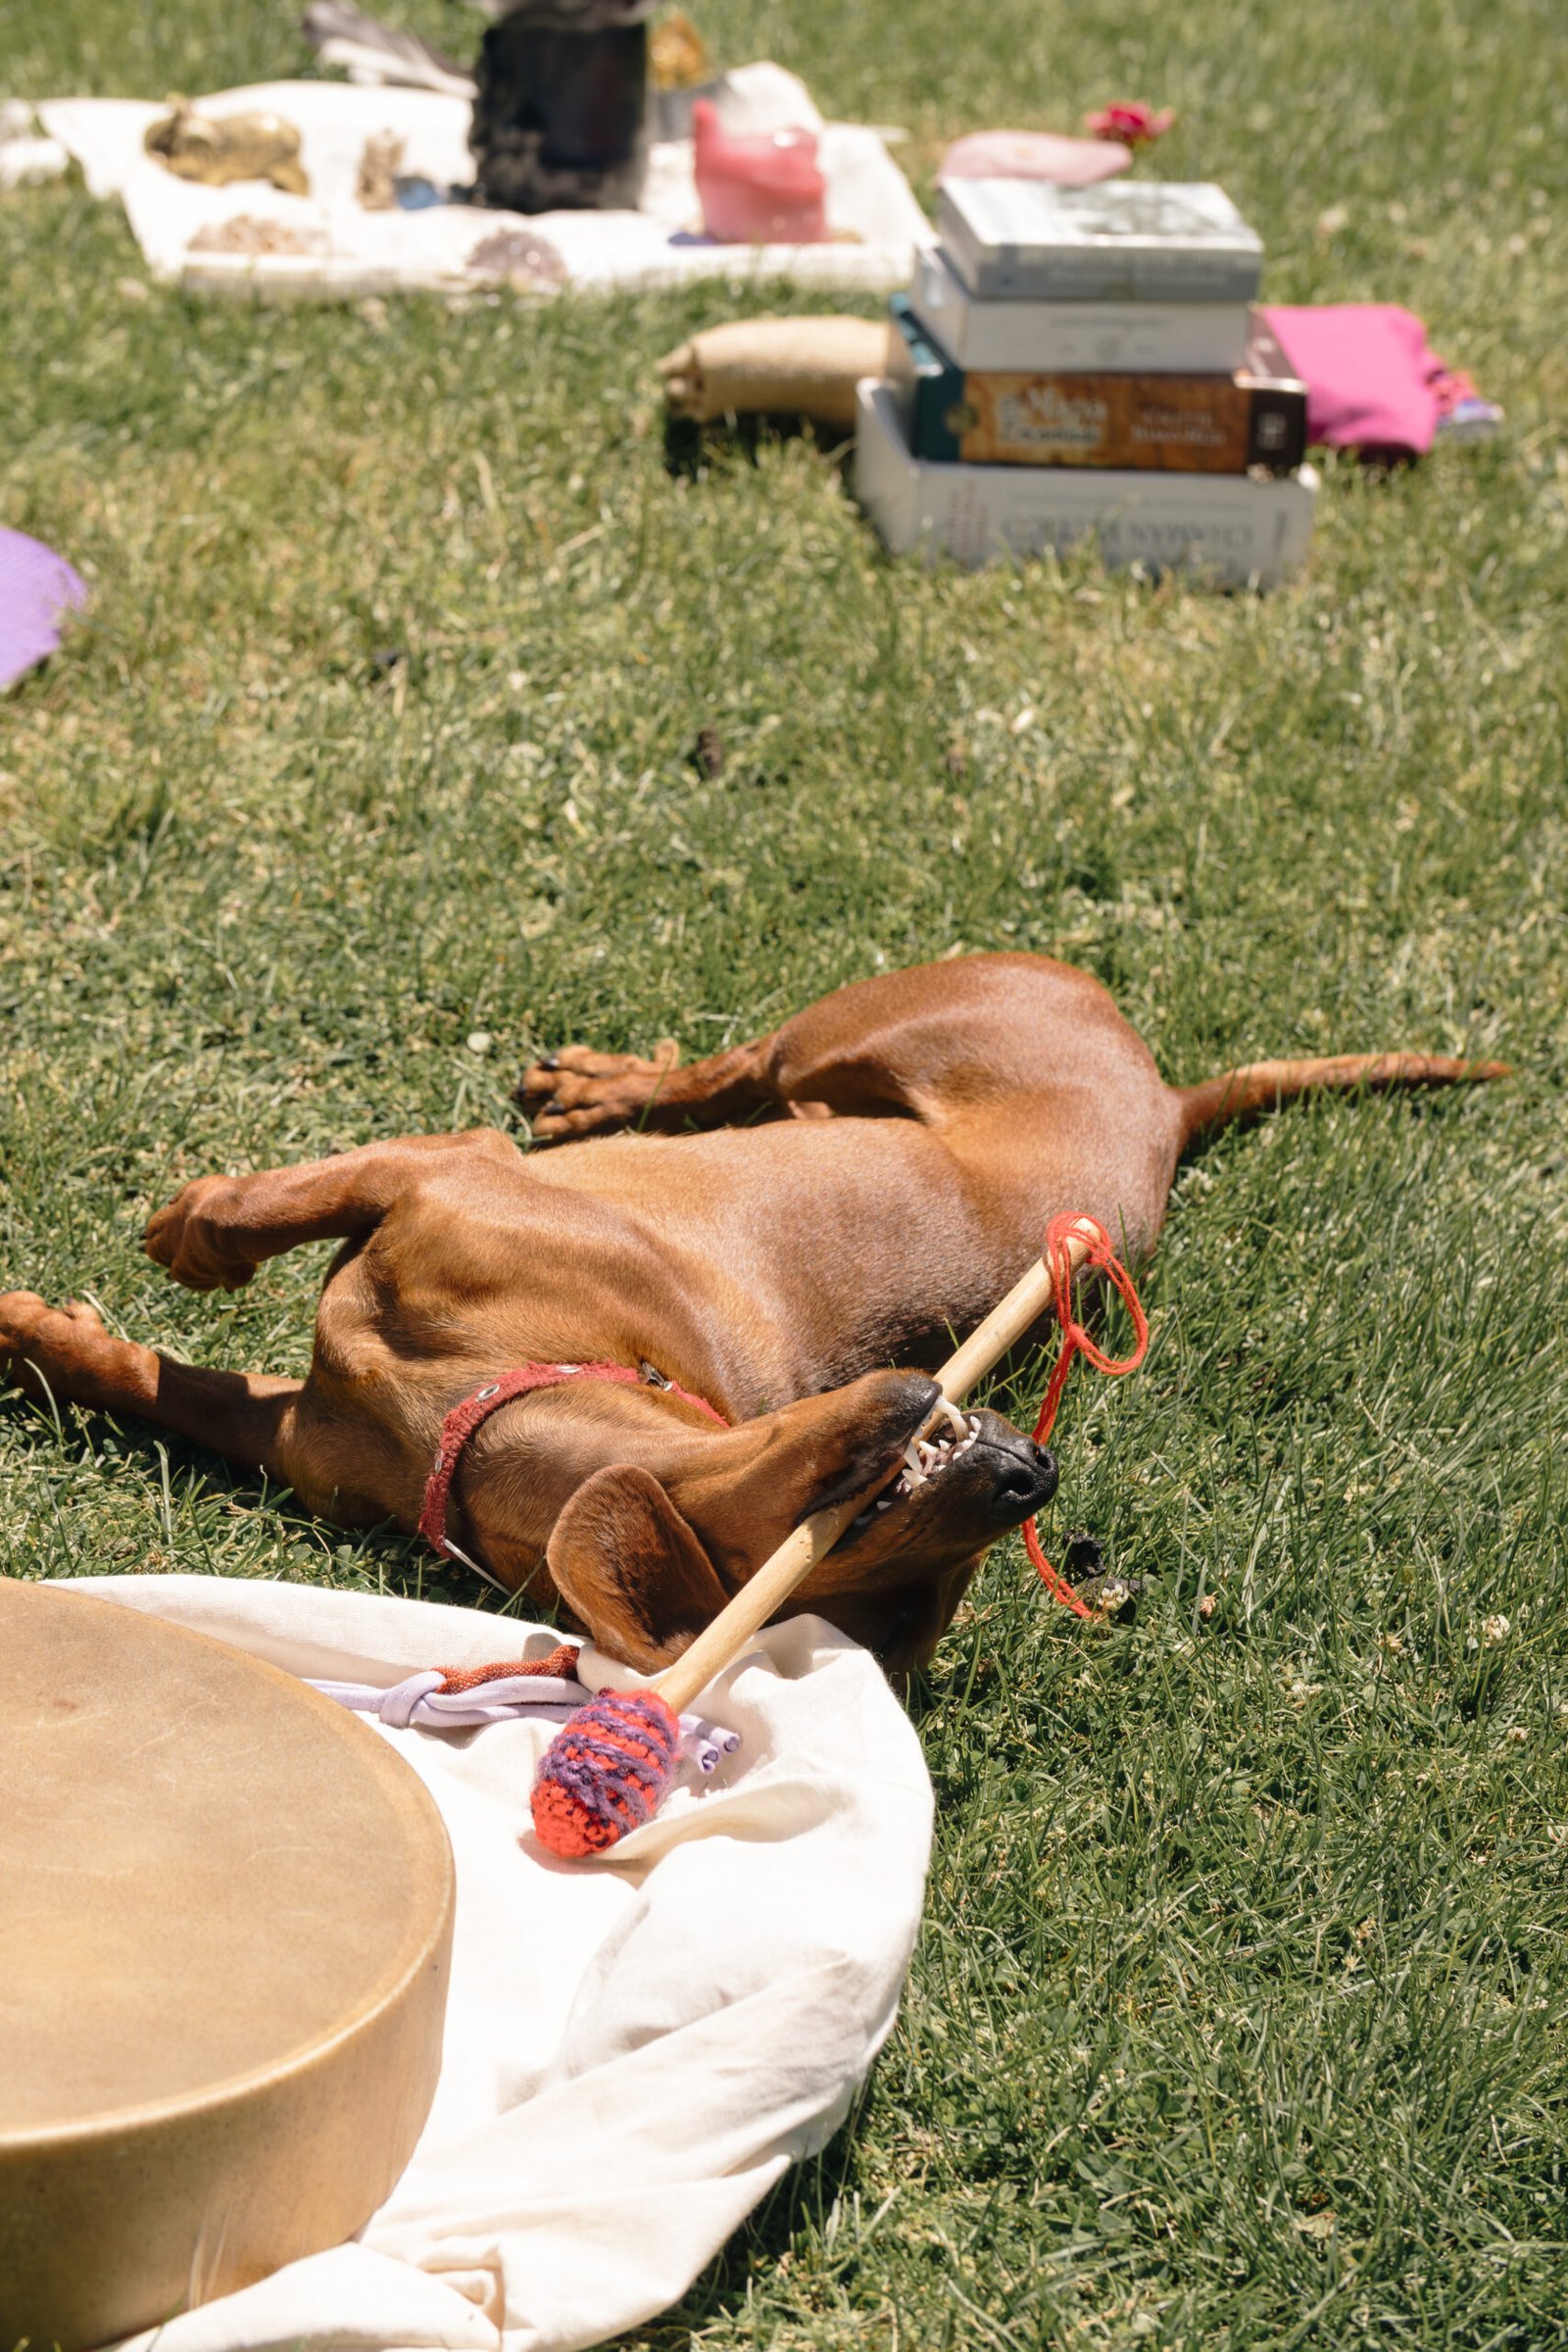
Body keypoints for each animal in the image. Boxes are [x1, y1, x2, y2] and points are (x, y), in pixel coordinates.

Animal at [0, 954, 1502, 1674]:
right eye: (871, 1516)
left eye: (917, 1597)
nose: (1035, 1472)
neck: (478, 1399)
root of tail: (1172, 1110)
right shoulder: (433, 1175)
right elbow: (186, 1306)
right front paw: (129, 1274)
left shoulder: (308, 1390)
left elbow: (166, 1380)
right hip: (852, 1035)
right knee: (729, 1069)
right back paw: (601, 1089)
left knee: (732, 1077)